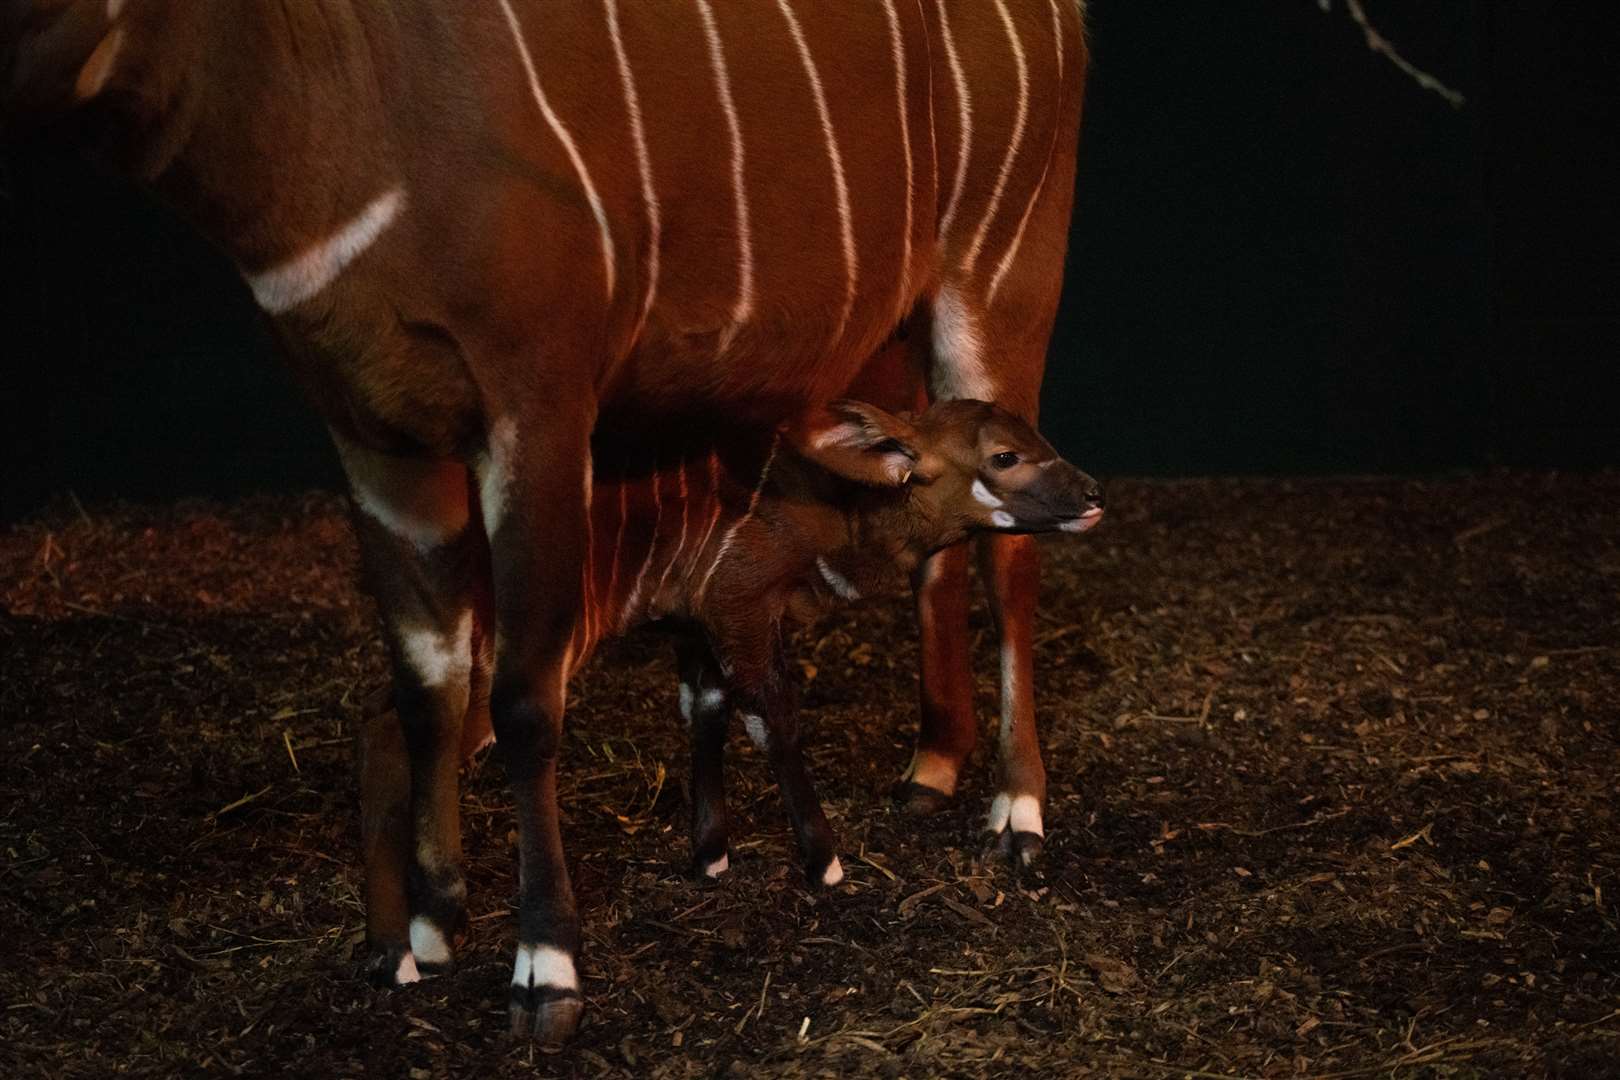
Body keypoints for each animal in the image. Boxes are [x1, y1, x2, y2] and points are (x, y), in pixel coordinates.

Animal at [6, 0, 1088, 1042]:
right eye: (998, 460)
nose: (1083, 491)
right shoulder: (378, 437)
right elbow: (442, 688)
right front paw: (448, 929)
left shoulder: (540, 403)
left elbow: (550, 698)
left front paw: (545, 967)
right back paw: (932, 767)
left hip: (1002, 274)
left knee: (1011, 567)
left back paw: (1018, 814)